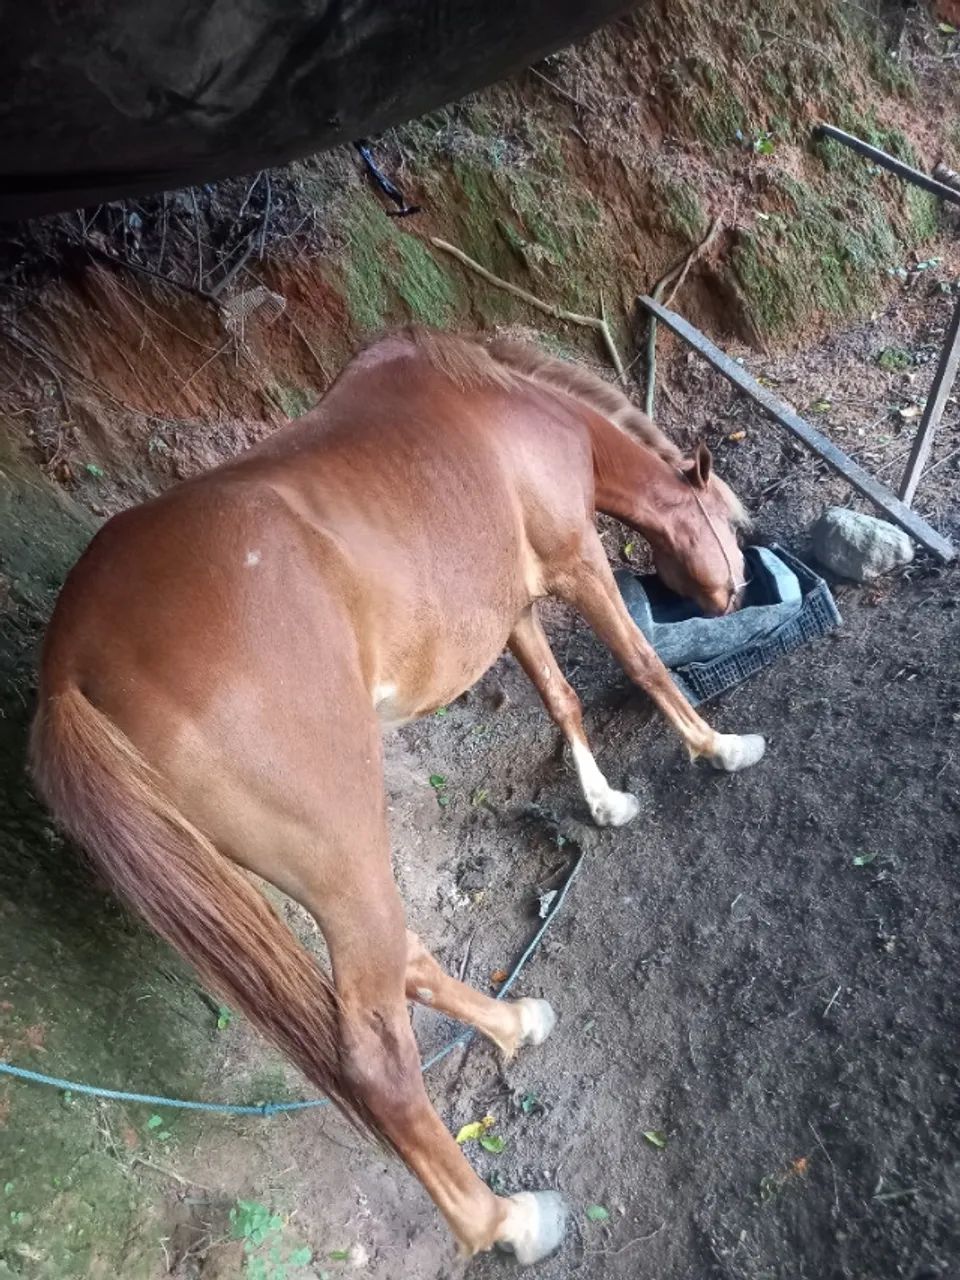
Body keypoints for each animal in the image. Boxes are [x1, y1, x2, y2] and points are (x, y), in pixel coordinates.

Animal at [30, 327, 763, 1265]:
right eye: (728, 523)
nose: (733, 590)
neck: (519, 409)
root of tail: (70, 668)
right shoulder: (576, 562)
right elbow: (642, 662)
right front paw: (718, 748)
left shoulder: (512, 607)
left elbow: (561, 697)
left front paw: (604, 803)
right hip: (343, 844)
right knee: (379, 1055)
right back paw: (508, 1221)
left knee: (404, 957)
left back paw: (514, 1024)